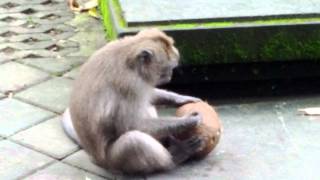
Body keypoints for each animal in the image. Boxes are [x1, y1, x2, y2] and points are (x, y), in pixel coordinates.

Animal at [61, 28, 204, 174]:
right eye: (169, 68)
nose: (170, 75)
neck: (129, 57)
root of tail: (93, 156)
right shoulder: (130, 83)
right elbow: (132, 124)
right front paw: (189, 121)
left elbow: (147, 97)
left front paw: (180, 98)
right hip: (112, 161)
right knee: (133, 141)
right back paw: (176, 155)